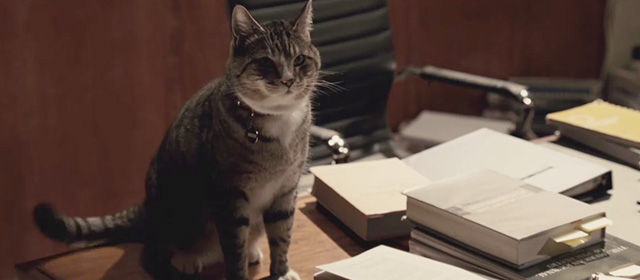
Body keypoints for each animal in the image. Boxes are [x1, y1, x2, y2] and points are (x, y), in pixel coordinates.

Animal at [32, 1, 318, 278]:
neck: (277, 119)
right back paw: (187, 259)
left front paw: (281, 272)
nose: (288, 80)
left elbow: (282, 236)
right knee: (160, 248)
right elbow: (233, 248)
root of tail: (146, 207)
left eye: (299, 59)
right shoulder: (230, 195)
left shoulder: (286, 190)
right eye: (266, 62)